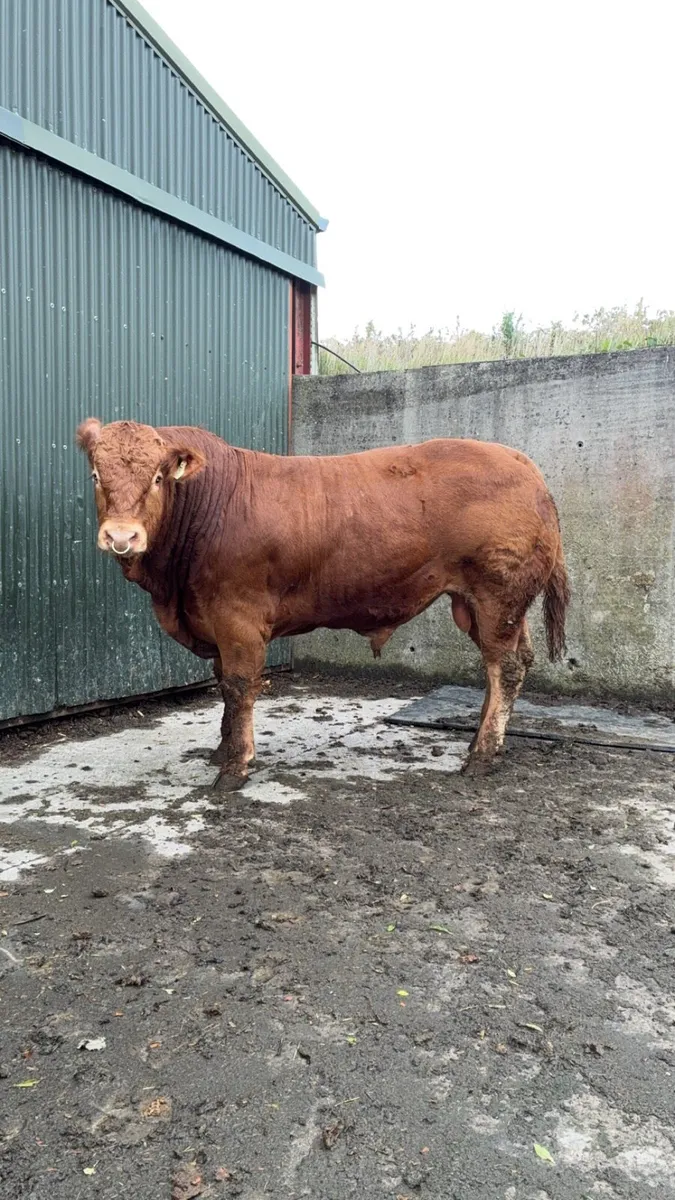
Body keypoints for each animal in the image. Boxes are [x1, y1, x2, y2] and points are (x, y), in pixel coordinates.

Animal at [76, 418, 570, 790]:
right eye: (97, 476)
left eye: (157, 478)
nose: (122, 536)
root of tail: (525, 465)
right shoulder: (213, 620)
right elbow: (222, 683)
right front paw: (222, 749)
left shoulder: (238, 616)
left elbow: (238, 686)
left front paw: (236, 766)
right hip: (482, 603)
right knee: (511, 661)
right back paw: (482, 744)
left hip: (498, 594)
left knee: (504, 667)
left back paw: (481, 756)